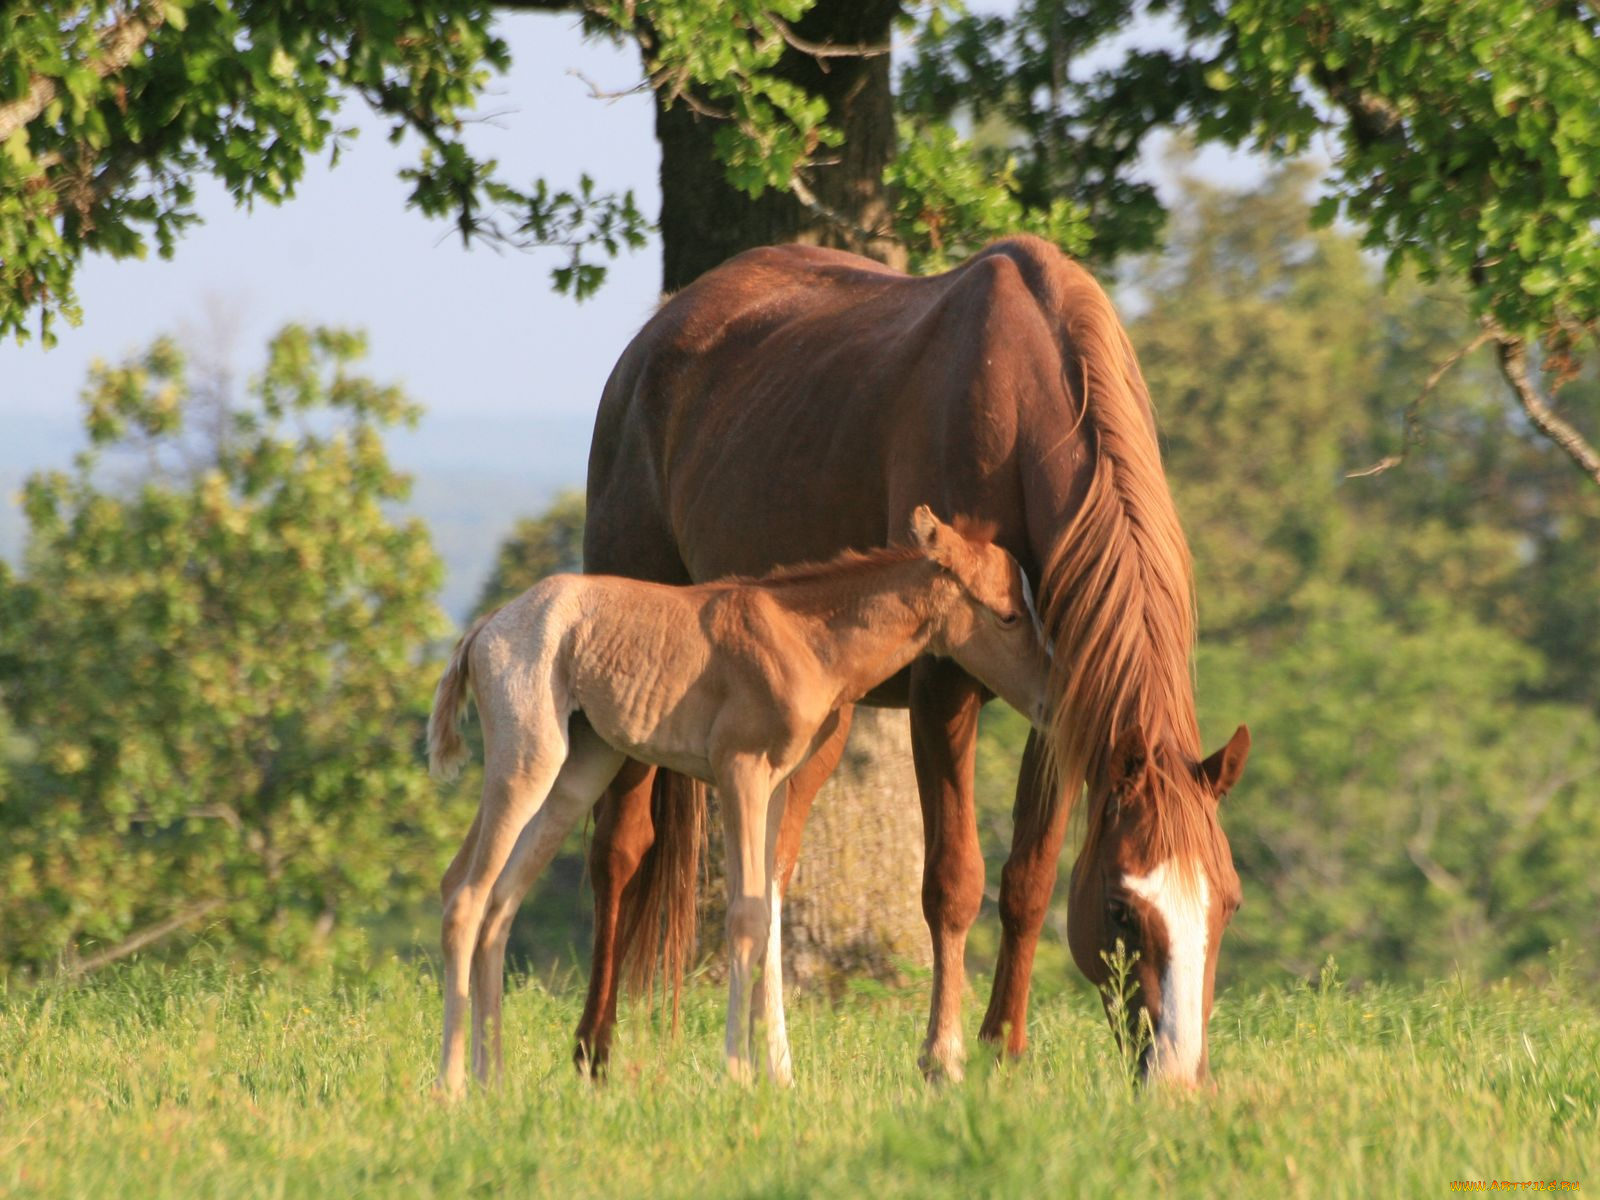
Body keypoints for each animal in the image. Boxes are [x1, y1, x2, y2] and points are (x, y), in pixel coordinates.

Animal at [428, 508, 1049, 1100]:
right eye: (1008, 615)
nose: (1048, 694)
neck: (805, 635)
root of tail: (484, 630)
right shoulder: (739, 772)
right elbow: (746, 917)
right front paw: (739, 1075)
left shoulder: (774, 788)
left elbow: (766, 910)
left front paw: (769, 1076)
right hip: (527, 759)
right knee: (465, 893)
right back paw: (453, 1086)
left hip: (578, 773)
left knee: (498, 901)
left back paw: (494, 1081)